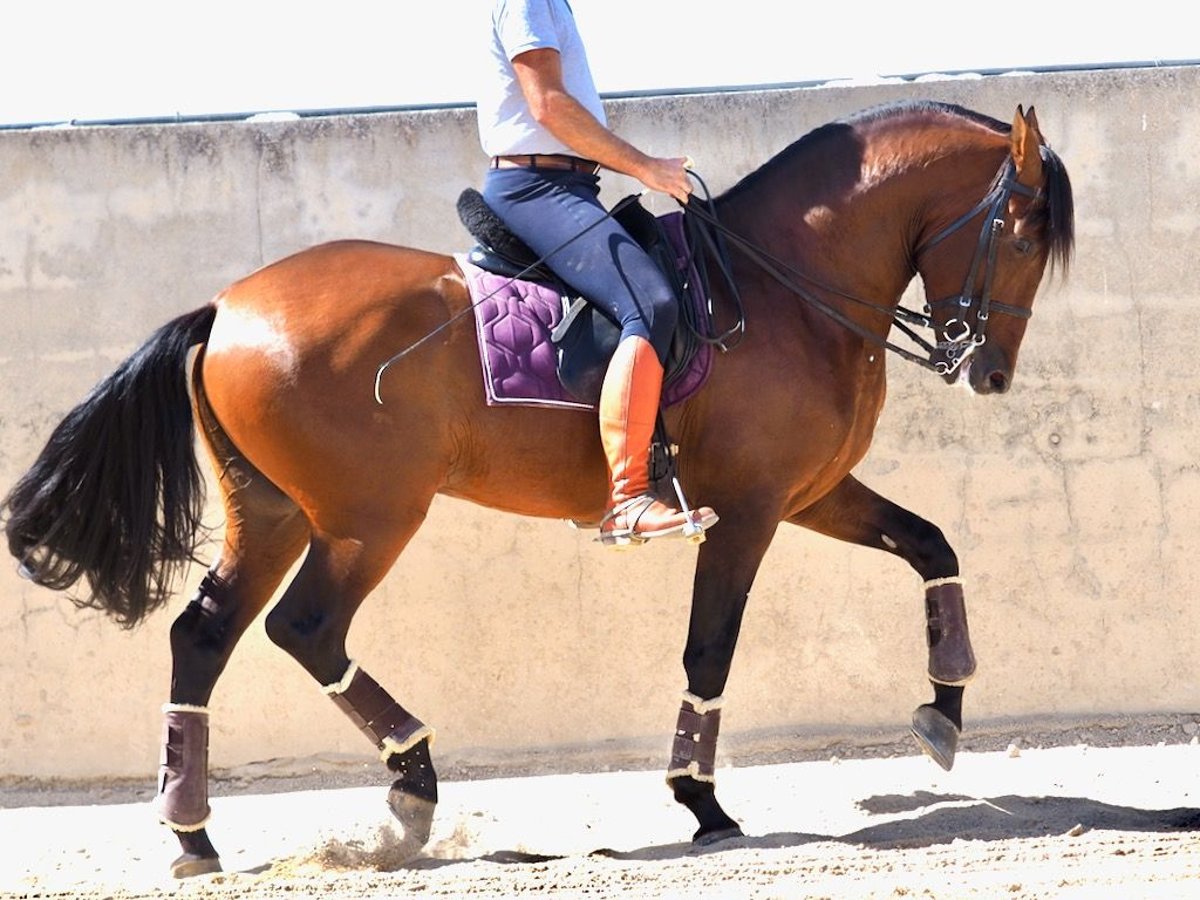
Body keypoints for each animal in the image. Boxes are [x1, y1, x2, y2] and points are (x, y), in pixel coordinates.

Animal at [4, 100, 1075, 883]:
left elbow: (932, 545)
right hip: (366, 518)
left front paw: (944, 711)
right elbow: (710, 648)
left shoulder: (811, 493)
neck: (787, 287)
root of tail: (227, 307)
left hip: (268, 513)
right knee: (305, 629)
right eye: (1023, 235)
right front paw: (701, 801)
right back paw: (411, 784)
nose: (989, 373)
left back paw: (195, 835)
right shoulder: (750, 511)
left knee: (205, 636)